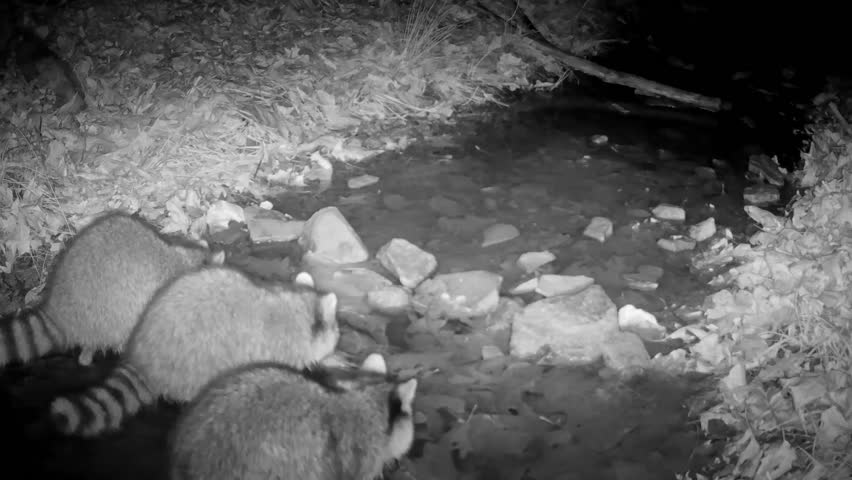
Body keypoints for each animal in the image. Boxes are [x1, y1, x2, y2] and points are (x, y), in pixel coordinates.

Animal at [49, 268, 340, 437]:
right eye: (336, 329)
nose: (339, 339)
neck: (295, 306)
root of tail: (144, 359)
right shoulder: (274, 348)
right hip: (194, 365)